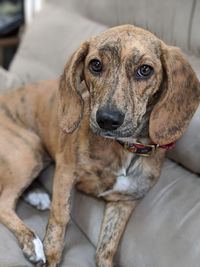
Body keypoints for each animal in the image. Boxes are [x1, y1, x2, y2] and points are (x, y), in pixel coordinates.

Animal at [0, 24, 200, 266]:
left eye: (145, 70)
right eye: (95, 65)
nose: (107, 119)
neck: (124, 148)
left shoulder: (124, 202)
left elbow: (106, 248)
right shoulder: (65, 173)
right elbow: (60, 219)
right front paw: (51, 255)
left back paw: (36, 196)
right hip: (28, 151)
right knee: (4, 203)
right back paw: (32, 242)